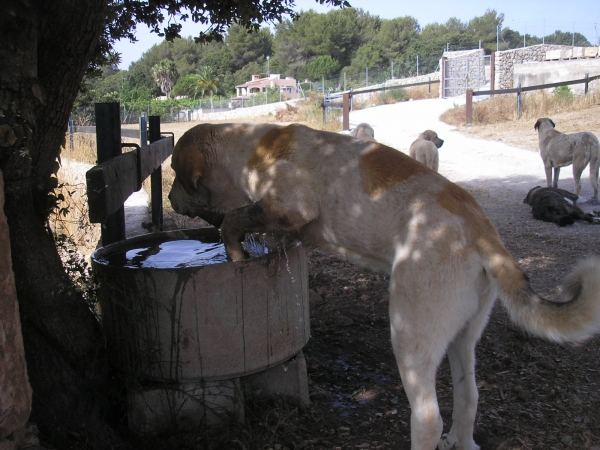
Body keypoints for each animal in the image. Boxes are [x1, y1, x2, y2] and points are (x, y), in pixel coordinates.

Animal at [169, 122, 600, 450]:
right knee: (469, 398)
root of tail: (482, 232)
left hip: (409, 336)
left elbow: (233, 220)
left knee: (428, 419)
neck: (247, 146)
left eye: (176, 173)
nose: (170, 199)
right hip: (463, 338)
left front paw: (234, 252)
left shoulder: (289, 207)